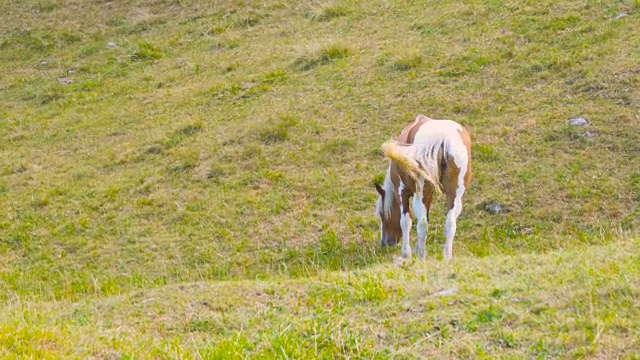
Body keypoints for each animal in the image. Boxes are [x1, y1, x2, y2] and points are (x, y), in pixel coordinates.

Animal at [372, 116, 472, 260]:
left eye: (381, 214)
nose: (385, 242)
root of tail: (443, 138)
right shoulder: (429, 194)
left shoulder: (401, 191)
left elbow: (406, 221)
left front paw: (406, 253)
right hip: (454, 195)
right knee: (450, 223)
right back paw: (447, 256)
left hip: (421, 192)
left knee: (422, 224)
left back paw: (421, 255)